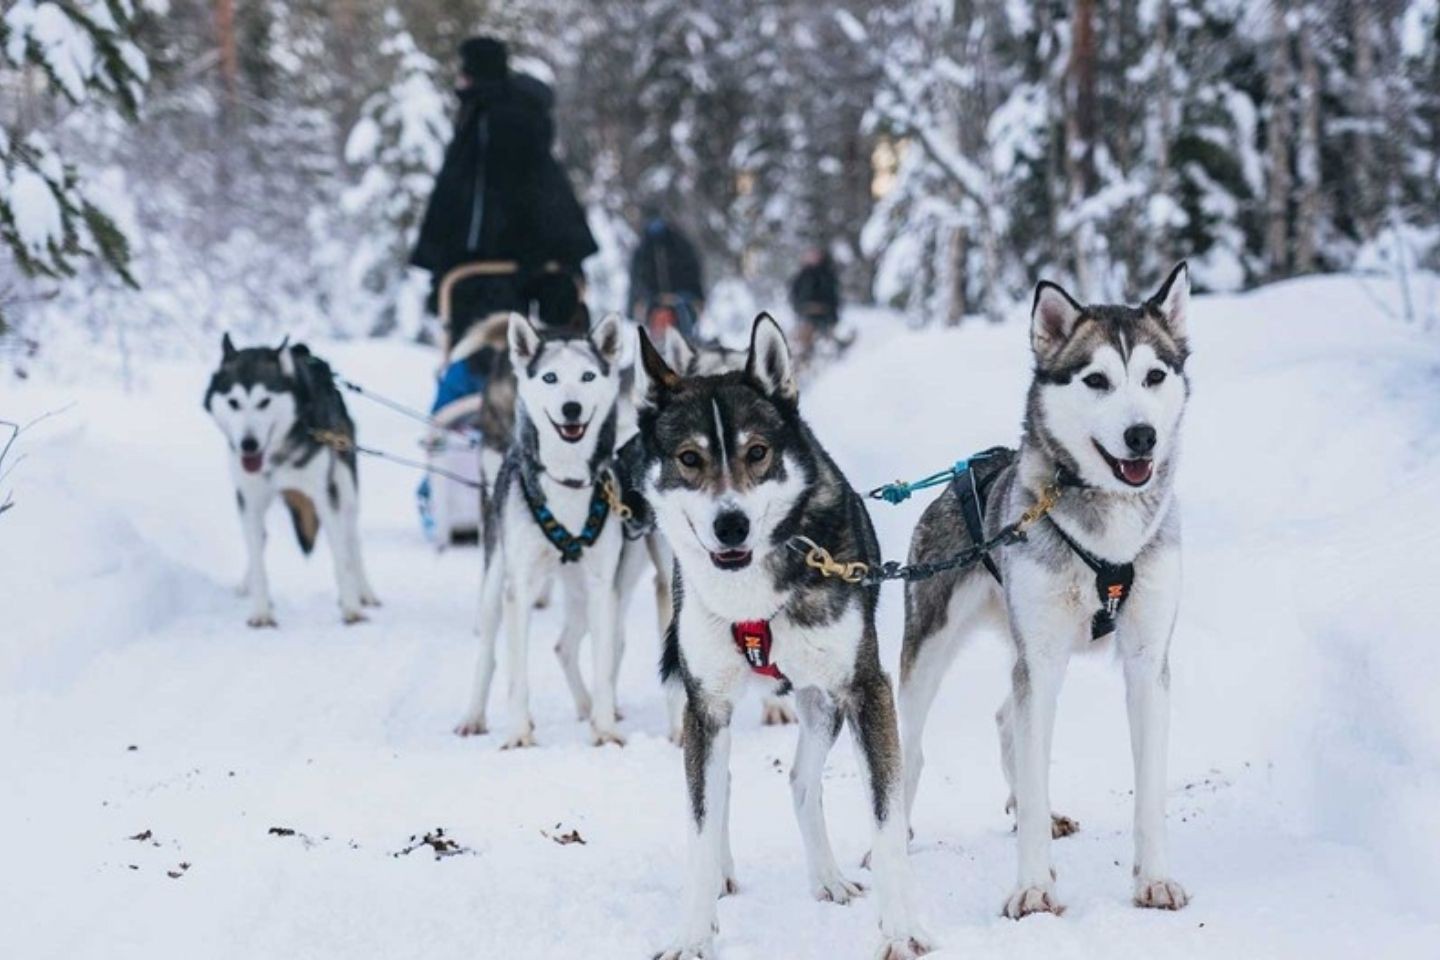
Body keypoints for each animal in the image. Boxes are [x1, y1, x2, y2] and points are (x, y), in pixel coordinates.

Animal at [205, 333, 383, 627]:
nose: (248, 444)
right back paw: (246, 584)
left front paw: (351, 608)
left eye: (264, 402)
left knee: (351, 539)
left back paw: (365, 592)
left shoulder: (325, 496)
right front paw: (261, 611)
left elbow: (340, 557)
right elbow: (257, 556)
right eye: (233, 402)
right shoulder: (249, 499)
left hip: (346, 488)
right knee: (260, 538)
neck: (277, 455)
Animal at [455, 312, 624, 748]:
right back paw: (473, 716)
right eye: (550, 377)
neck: (566, 483)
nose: (571, 407)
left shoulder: (602, 587)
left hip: (578, 591)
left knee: (564, 646)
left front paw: (606, 729)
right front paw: (518, 734)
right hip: (496, 582)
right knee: (490, 653)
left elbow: (604, 668)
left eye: (586, 376)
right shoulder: (520, 586)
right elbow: (517, 676)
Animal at [642, 315, 933, 960]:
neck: (753, 597)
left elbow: (886, 820)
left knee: (801, 780)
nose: (730, 524)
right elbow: (701, 819)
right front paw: (693, 932)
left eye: (757, 452)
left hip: (822, 702)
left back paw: (826, 877)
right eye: (689, 458)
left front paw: (902, 929)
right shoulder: (707, 705)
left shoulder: (865, 690)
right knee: (721, 786)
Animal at [898, 260, 1192, 915]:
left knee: (1007, 719)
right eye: (1097, 380)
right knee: (911, 750)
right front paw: (1033, 886)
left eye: (1155, 376)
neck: (1109, 538)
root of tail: (967, 470)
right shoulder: (1042, 658)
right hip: (928, 654)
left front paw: (1155, 878)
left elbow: (1149, 790)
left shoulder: (1147, 660)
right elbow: (1032, 784)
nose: (1142, 435)